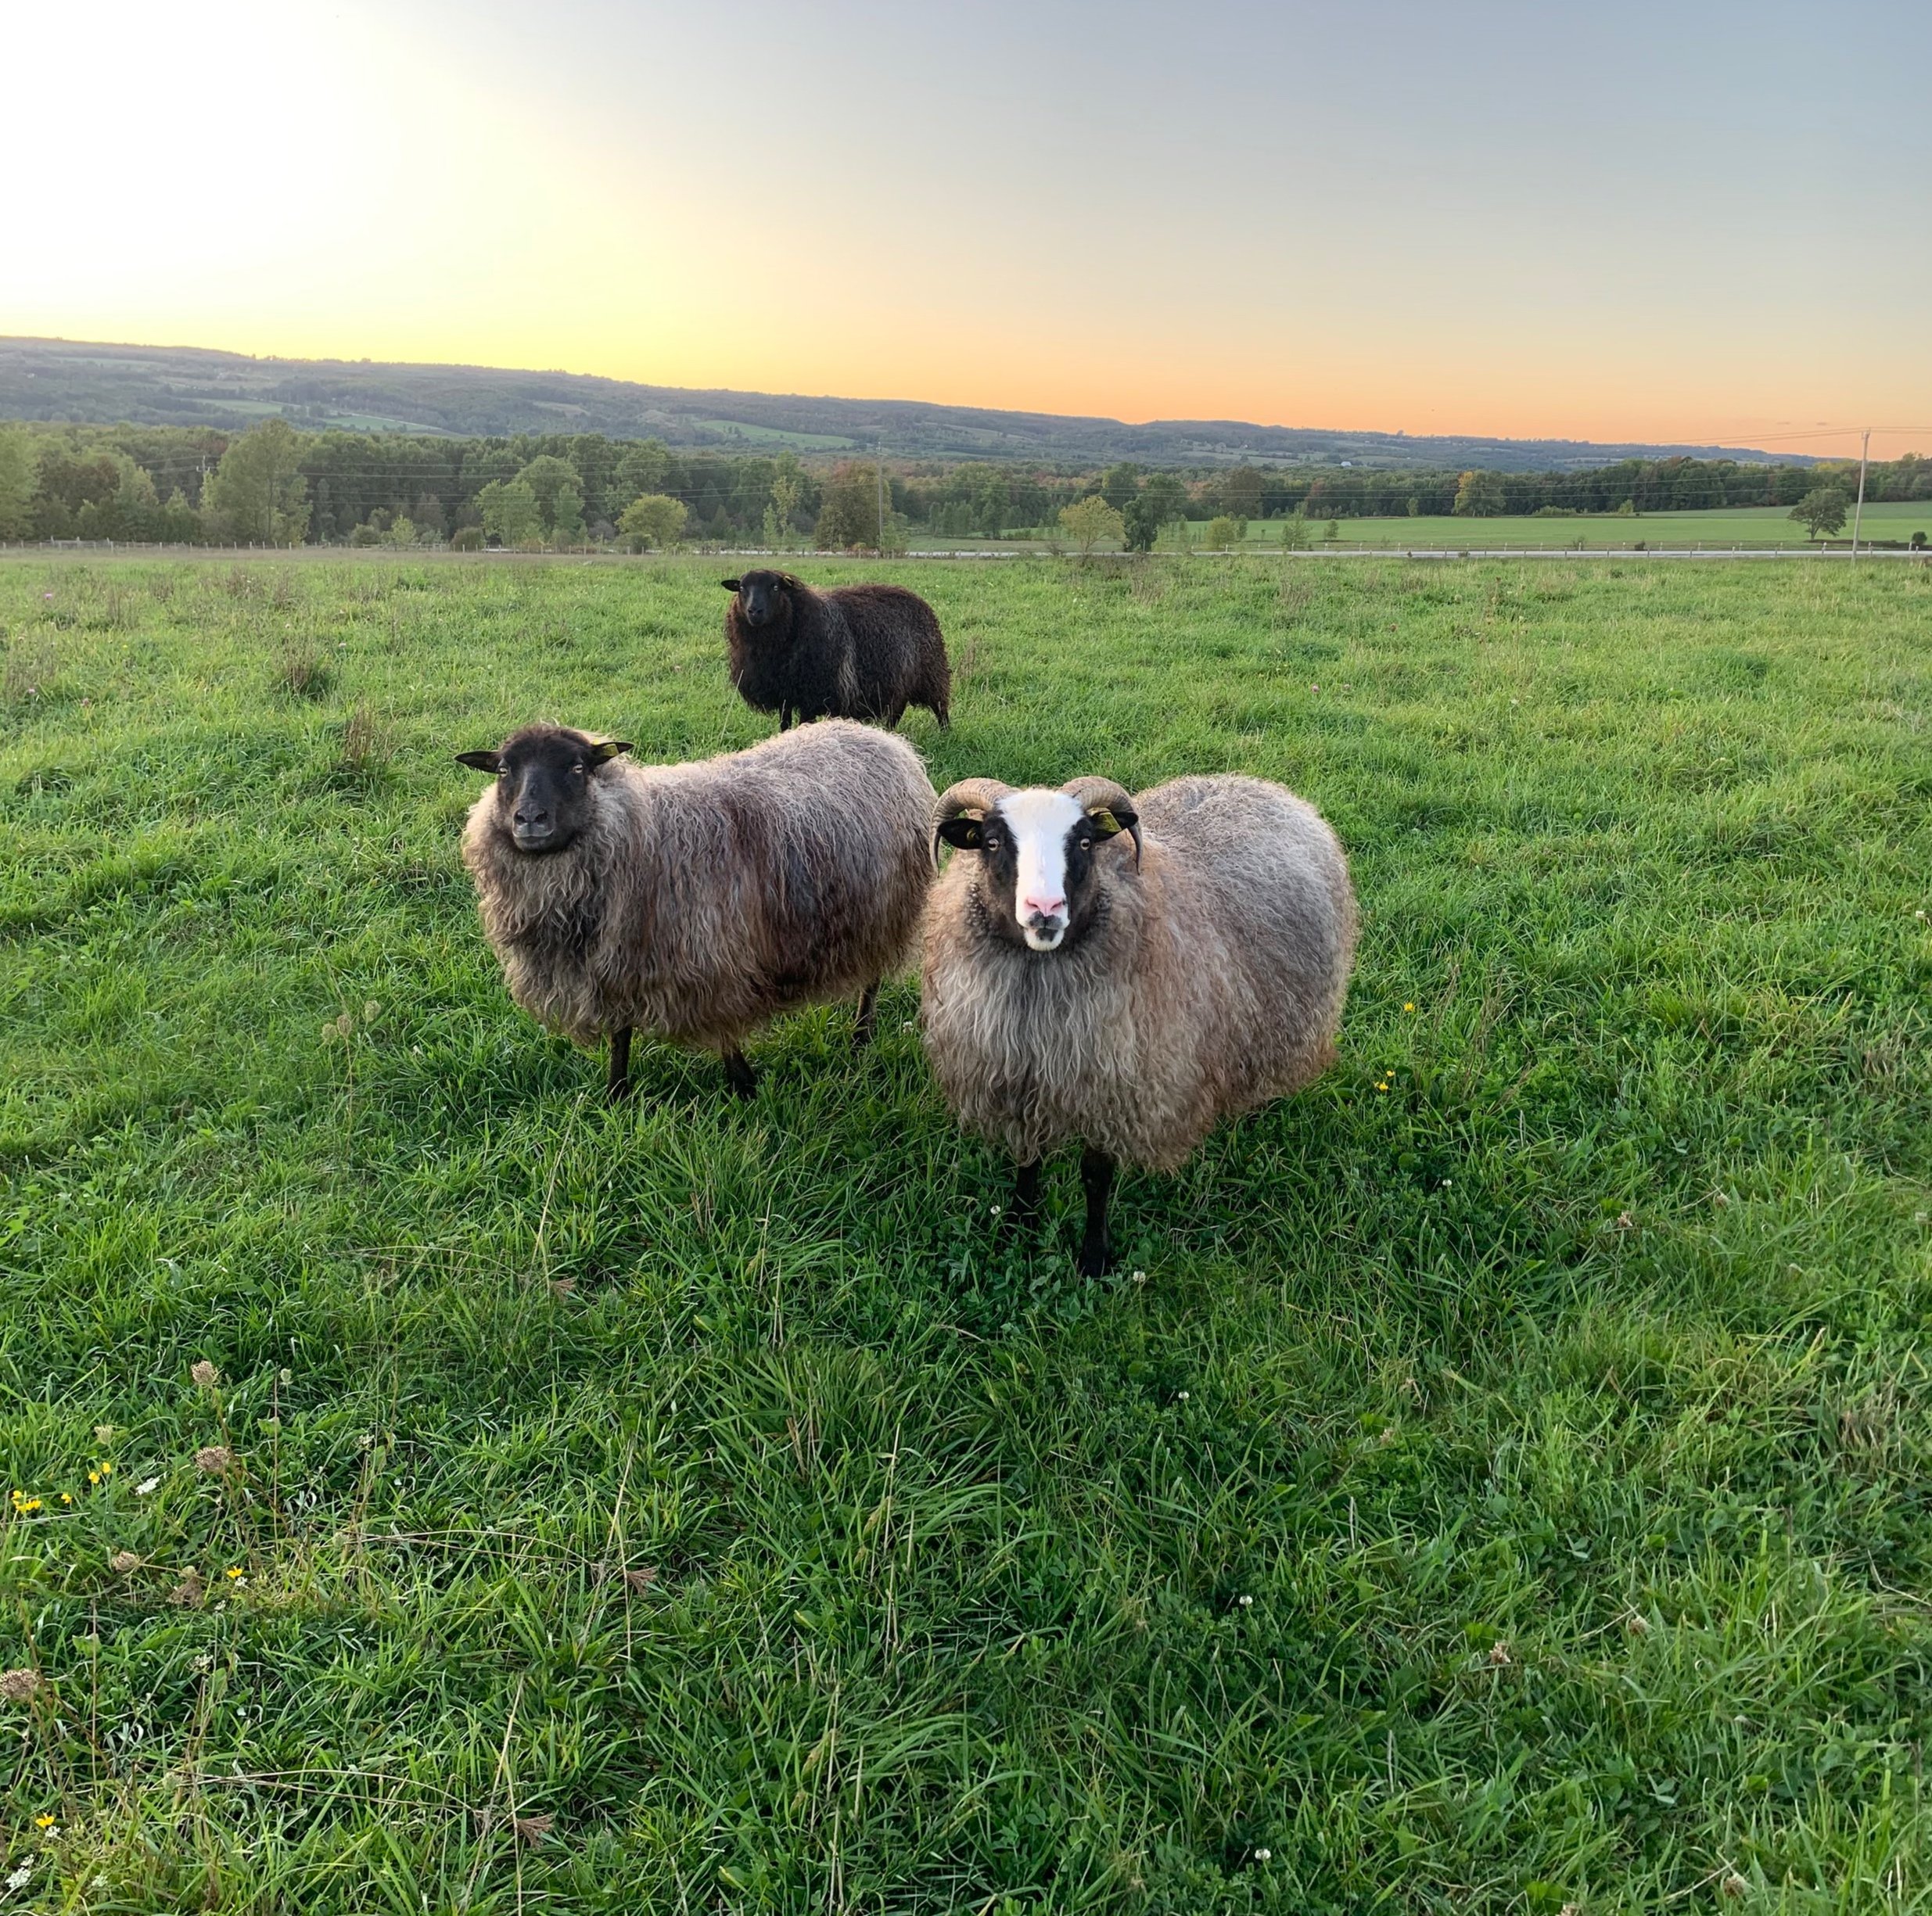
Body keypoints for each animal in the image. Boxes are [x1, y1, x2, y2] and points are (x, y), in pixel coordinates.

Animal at [454, 718, 935, 1096]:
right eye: (503, 770)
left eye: (577, 768)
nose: (530, 819)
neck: (642, 831)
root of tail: (879, 736)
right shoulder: (617, 966)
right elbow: (620, 1036)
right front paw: (616, 1095)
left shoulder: (712, 956)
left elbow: (724, 1031)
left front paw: (744, 1087)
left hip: (885, 912)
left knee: (872, 980)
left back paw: (860, 1037)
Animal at [718, 568, 950, 734]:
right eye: (741, 589)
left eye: (775, 588)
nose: (754, 611)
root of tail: (916, 598)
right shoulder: (785, 693)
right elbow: (784, 724)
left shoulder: (811, 695)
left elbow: (804, 723)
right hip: (902, 679)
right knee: (898, 709)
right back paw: (890, 733)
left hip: (930, 672)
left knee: (940, 706)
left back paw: (945, 733)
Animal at [919, 772, 1359, 1282]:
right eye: (991, 842)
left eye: (1084, 842)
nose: (1044, 907)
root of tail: (1263, 787)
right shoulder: (1020, 1080)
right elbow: (1027, 1158)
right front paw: (1017, 1227)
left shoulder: (1116, 1083)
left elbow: (1096, 1176)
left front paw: (1093, 1259)